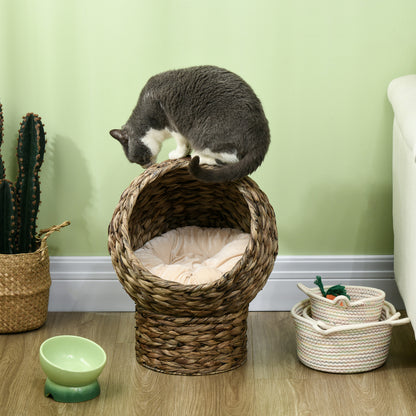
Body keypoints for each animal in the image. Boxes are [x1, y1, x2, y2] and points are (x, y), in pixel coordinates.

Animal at [110, 65, 272, 182]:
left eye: (138, 160)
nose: (145, 167)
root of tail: (262, 135)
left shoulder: (171, 122)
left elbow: (181, 142)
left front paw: (178, 154)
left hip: (203, 135)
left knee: (231, 159)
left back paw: (200, 156)